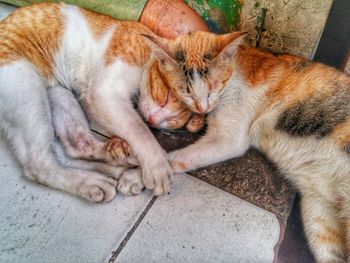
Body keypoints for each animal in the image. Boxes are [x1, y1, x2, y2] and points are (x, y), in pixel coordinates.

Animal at [0, 2, 209, 202]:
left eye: (174, 121)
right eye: (166, 96)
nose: (153, 120)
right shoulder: (103, 92)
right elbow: (137, 128)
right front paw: (157, 163)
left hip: (58, 91)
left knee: (76, 146)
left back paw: (119, 157)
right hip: (26, 89)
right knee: (37, 163)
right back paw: (88, 182)